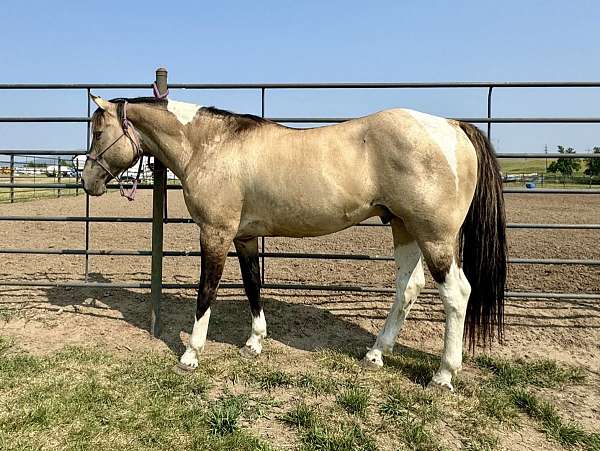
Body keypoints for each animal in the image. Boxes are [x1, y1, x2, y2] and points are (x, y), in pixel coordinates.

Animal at [82, 94, 506, 392]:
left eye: (98, 132)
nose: (87, 180)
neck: (212, 145)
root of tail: (451, 126)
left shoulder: (215, 234)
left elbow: (207, 292)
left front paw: (190, 354)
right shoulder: (245, 236)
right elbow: (252, 285)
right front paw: (255, 342)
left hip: (435, 237)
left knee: (456, 294)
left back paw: (443, 375)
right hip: (404, 228)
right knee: (408, 288)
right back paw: (376, 354)